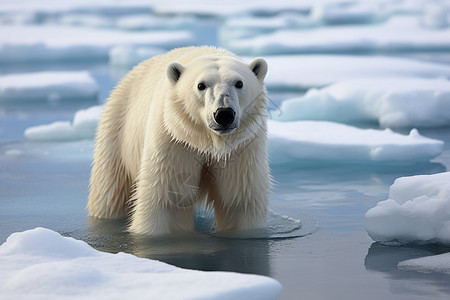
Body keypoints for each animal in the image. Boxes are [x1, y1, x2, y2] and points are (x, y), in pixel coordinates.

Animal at [88, 45, 270, 236]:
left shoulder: (242, 148)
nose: (224, 114)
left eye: (239, 83)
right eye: (201, 85)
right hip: (117, 132)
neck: (206, 141)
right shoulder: (174, 140)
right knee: (110, 193)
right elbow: (168, 199)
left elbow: (238, 200)